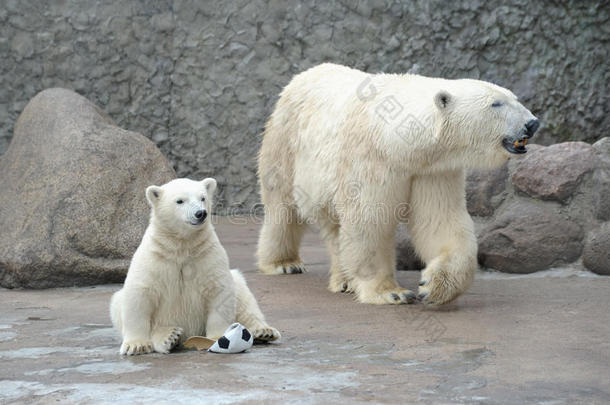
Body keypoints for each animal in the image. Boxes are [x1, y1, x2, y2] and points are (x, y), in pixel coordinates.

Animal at [256, 62, 536, 304]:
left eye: (515, 98)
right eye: (496, 103)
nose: (532, 123)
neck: (399, 141)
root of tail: (301, 76)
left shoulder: (433, 169)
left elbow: (440, 220)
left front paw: (434, 286)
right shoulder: (371, 160)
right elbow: (369, 221)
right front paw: (391, 293)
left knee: (334, 227)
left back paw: (344, 280)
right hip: (285, 143)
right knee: (282, 205)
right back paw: (284, 263)